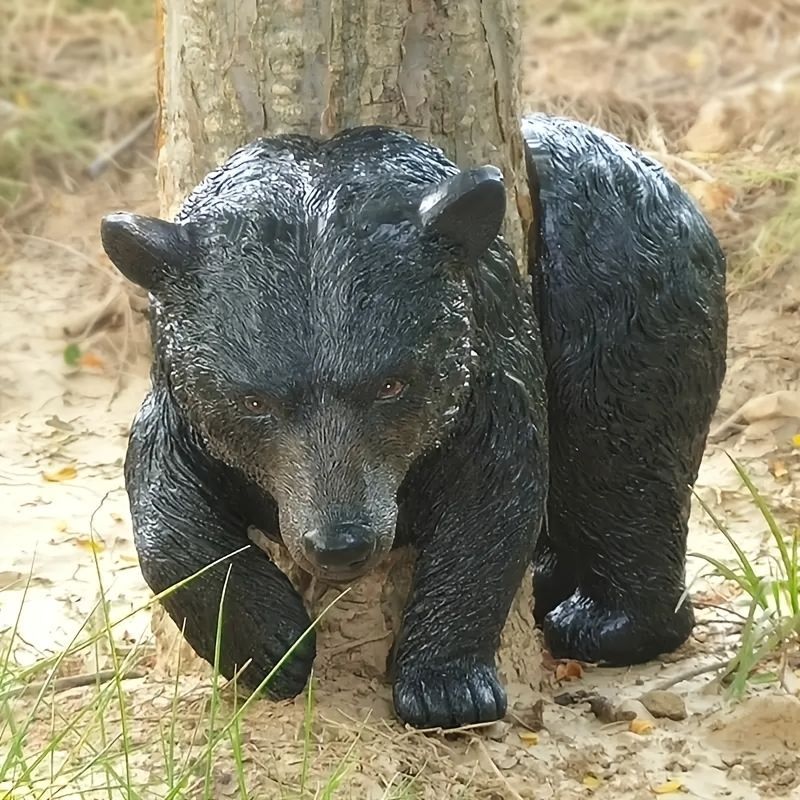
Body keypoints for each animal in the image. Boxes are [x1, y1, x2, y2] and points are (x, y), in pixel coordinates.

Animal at [99, 113, 727, 730]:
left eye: (391, 385)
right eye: (254, 402)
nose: (340, 544)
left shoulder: (485, 362)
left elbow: (491, 500)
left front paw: (445, 688)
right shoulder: (183, 404)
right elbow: (166, 507)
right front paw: (274, 647)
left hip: (621, 293)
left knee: (617, 461)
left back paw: (606, 623)